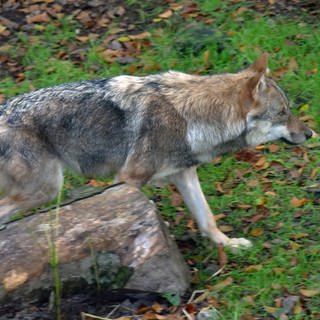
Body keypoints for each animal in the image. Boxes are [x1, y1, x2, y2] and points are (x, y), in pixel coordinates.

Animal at [0, 54, 312, 250]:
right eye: (283, 113)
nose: (310, 134)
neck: (192, 117)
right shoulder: (126, 180)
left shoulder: (185, 174)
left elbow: (207, 218)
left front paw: (228, 245)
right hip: (47, 189)